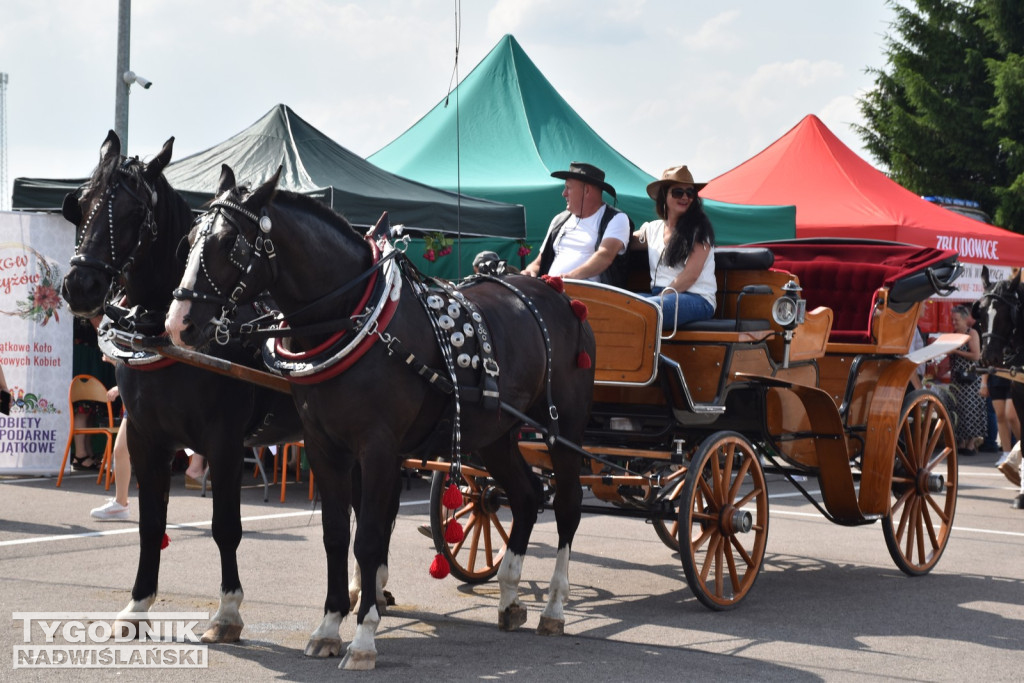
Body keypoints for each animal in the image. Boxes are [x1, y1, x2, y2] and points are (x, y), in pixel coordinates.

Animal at [61, 131, 301, 643]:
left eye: (133, 214)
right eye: (83, 203)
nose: (79, 286)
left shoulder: (225, 444)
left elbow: (226, 527)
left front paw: (227, 613)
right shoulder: (146, 437)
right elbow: (151, 524)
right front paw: (137, 607)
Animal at [165, 167, 598, 671]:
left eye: (230, 242)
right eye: (189, 239)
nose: (178, 324)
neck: (356, 318)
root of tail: (557, 293)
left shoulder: (378, 447)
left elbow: (370, 537)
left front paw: (364, 638)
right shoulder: (325, 446)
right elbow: (337, 535)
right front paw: (329, 626)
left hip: (562, 428)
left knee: (566, 505)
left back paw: (554, 607)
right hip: (495, 434)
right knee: (526, 497)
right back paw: (509, 597)